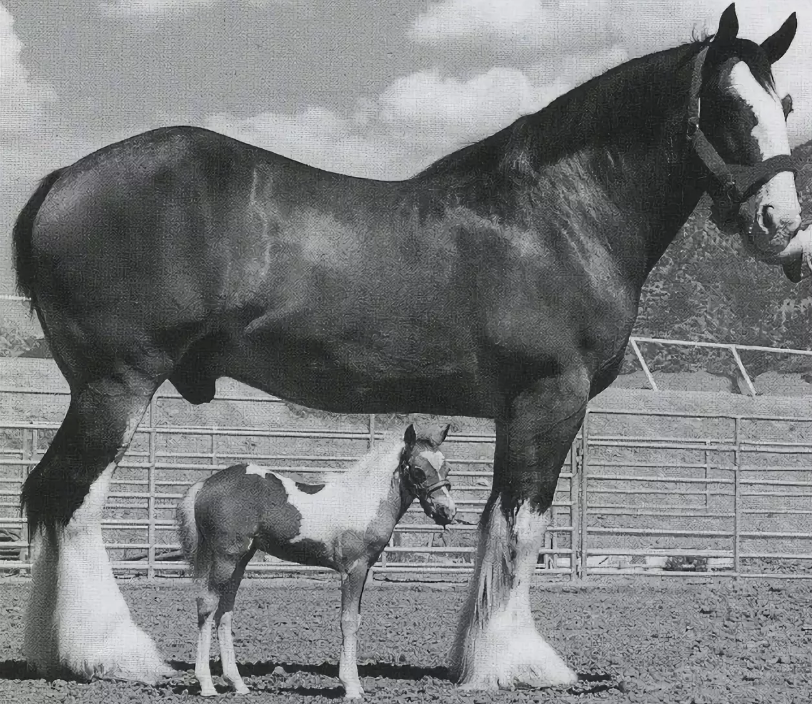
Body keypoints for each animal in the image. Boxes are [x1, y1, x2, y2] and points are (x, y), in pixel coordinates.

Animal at [177, 424, 454, 700]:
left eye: (447, 468)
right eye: (417, 470)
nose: (447, 511)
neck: (363, 500)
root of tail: (204, 484)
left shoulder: (364, 570)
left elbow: (356, 619)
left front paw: (356, 684)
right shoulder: (353, 569)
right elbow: (348, 621)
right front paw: (350, 687)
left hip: (241, 560)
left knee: (225, 612)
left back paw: (238, 684)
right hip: (225, 558)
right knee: (207, 606)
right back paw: (206, 685)